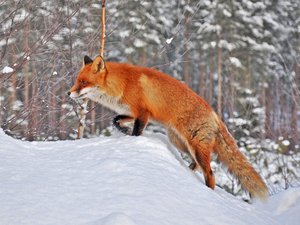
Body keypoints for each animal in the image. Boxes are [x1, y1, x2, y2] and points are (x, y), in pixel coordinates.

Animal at [68, 55, 270, 200]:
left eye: (83, 82)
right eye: (77, 80)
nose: (68, 93)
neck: (122, 84)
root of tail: (215, 114)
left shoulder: (143, 114)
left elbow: (136, 132)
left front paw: (131, 138)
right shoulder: (131, 112)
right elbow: (115, 120)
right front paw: (122, 131)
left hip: (195, 146)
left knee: (210, 173)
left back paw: (208, 193)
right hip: (179, 142)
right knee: (196, 165)